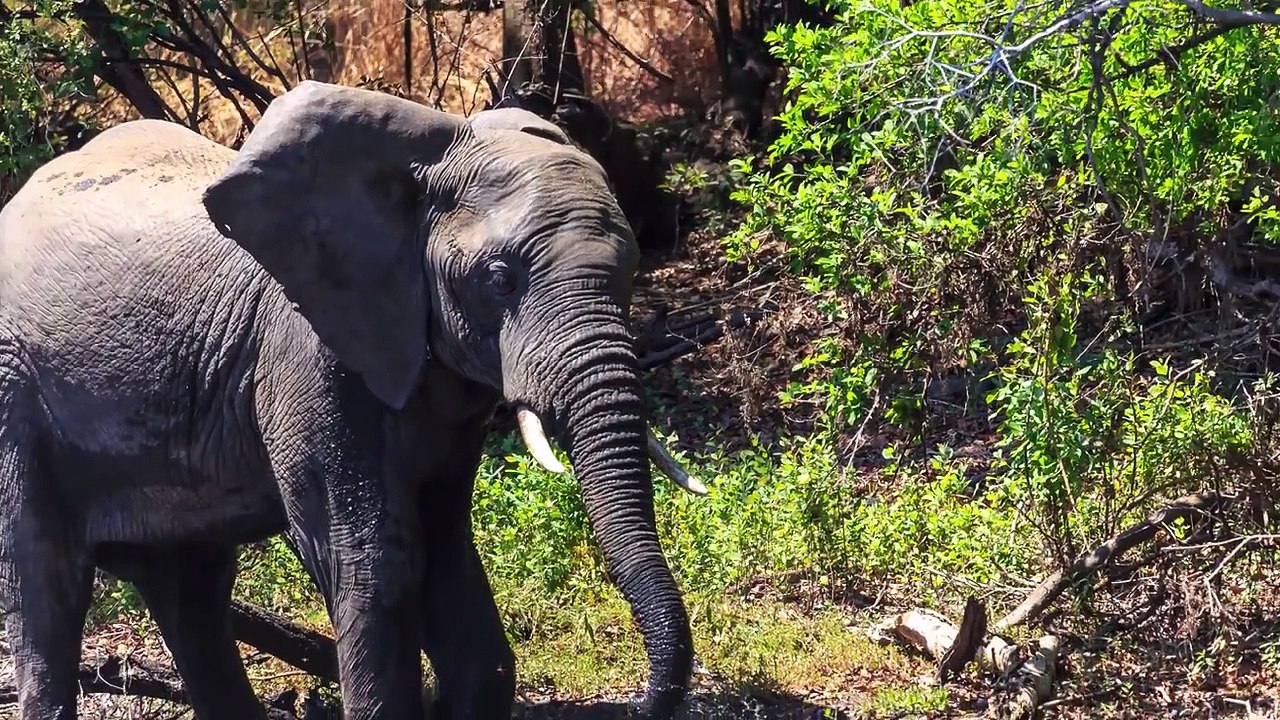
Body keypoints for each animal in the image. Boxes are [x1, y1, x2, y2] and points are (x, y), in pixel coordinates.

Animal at [0, 81, 701, 720]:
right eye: (499, 279)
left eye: (633, 270)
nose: (636, 704)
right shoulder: (304, 349)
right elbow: (375, 555)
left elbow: (445, 546)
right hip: (13, 394)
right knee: (46, 585)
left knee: (189, 589)